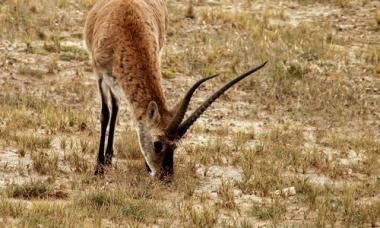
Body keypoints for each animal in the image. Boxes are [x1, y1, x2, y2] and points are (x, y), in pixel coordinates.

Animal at [83, 0, 268, 179]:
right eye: (157, 144)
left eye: (175, 146)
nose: (166, 176)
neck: (125, 33)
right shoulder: (100, 76)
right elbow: (105, 115)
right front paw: (98, 169)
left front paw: (145, 167)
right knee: (113, 109)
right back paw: (106, 160)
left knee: (117, 107)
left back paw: (110, 158)